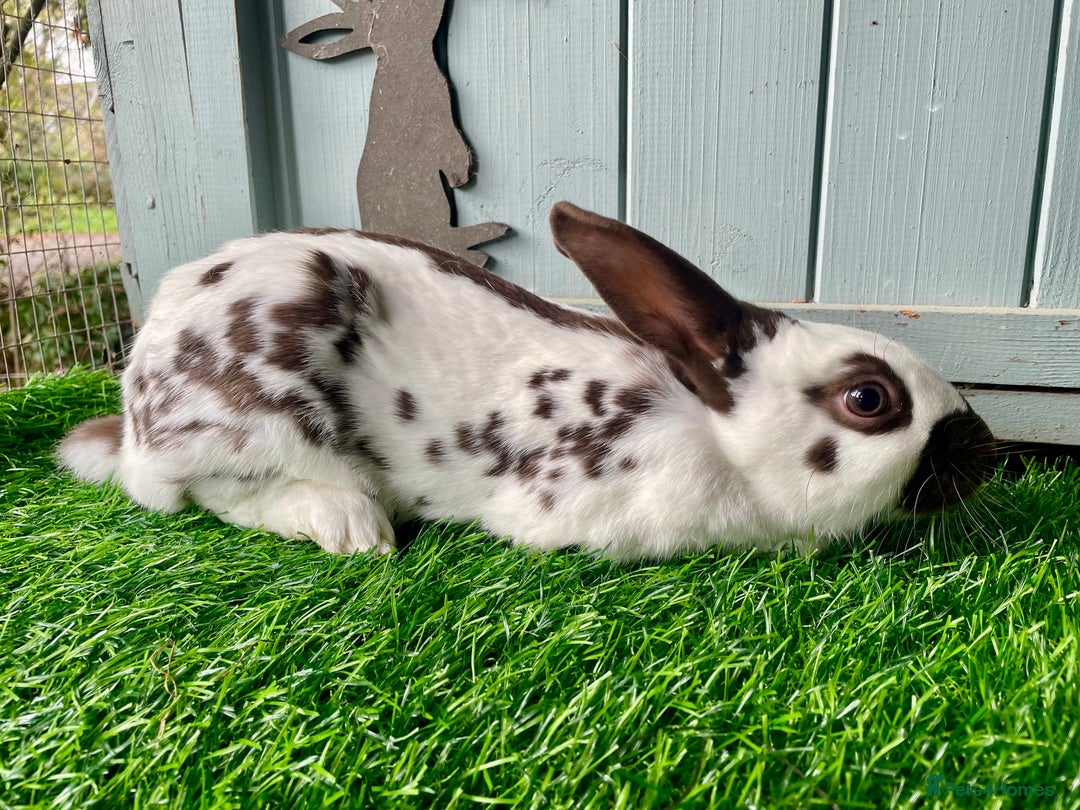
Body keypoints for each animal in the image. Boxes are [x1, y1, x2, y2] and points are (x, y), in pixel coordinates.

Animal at [57, 202, 996, 560]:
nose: (988, 453)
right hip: (261, 420)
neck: (717, 441)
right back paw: (351, 525)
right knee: (214, 493)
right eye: (869, 399)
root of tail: (135, 411)